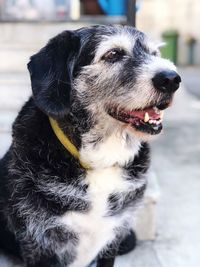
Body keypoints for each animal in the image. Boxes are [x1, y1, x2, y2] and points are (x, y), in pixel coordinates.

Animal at [0, 25, 180, 267]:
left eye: (154, 54)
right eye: (113, 54)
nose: (172, 79)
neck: (100, 162)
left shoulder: (112, 239)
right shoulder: (37, 244)